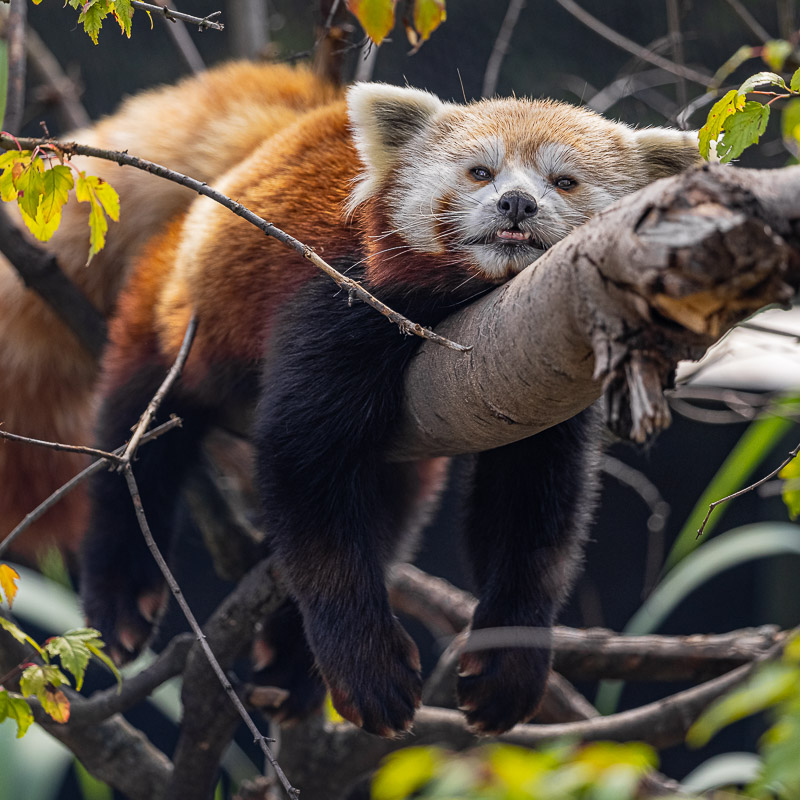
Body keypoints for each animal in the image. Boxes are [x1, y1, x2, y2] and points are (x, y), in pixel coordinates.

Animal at [76, 78, 700, 736]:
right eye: (481, 172)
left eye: (564, 182)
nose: (517, 205)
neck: (480, 300)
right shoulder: (345, 299)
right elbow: (312, 489)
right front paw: (367, 670)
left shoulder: (538, 374)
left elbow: (534, 515)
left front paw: (508, 666)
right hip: (175, 313)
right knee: (137, 438)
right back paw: (122, 597)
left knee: (393, 506)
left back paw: (289, 668)